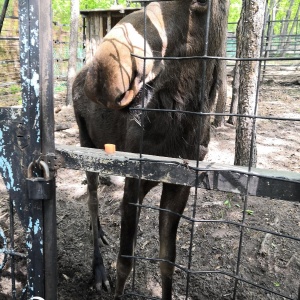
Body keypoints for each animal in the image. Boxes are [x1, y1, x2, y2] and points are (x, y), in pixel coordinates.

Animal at [72, 0, 227, 298]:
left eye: (202, 3)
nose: (102, 77)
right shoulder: (134, 180)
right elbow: (124, 261)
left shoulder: (181, 185)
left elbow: (168, 260)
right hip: (86, 145)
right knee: (92, 199)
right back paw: (98, 268)